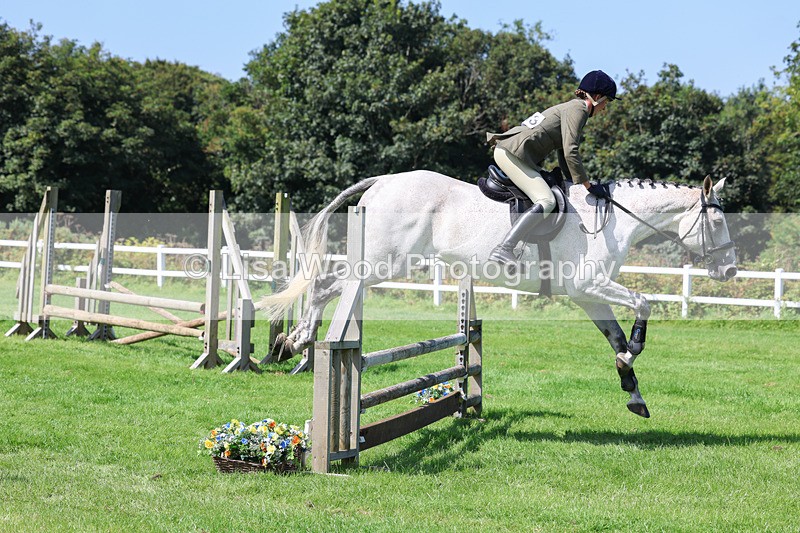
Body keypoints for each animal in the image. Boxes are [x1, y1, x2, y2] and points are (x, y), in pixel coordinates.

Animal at [263, 171, 737, 418]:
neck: (612, 221)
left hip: (388, 263)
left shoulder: (590, 295)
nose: (730, 269)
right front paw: (633, 356)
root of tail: (384, 181)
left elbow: (616, 338)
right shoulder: (590, 285)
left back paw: (293, 343)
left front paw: (632, 389)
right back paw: (298, 341)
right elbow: (643, 304)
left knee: (329, 285)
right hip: (384, 262)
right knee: (326, 285)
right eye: (717, 222)